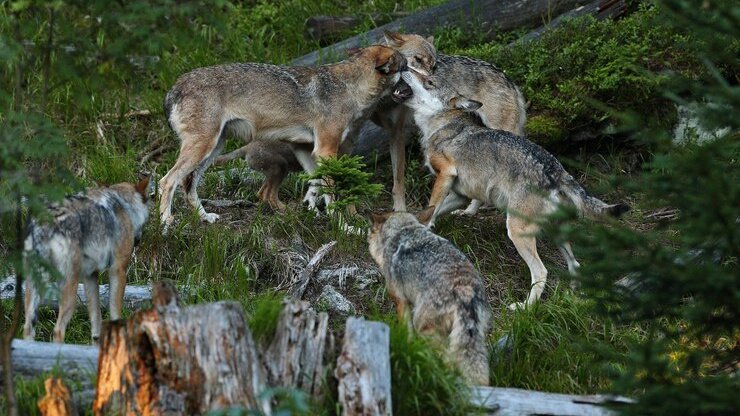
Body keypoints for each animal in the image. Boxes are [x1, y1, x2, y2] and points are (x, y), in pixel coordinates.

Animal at [23, 177, 151, 342]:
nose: (138, 241)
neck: (123, 204)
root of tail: (46, 221)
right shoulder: (118, 270)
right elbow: (115, 313)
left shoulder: (90, 275)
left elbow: (96, 322)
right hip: (69, 288)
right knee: (58, 330)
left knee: (28, 328)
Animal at [158, 46, 408, 226]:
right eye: (406, 68)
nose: (414, 86)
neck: (349, 89)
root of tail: (173, 89)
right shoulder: (325, 150)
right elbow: (332, 193)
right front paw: (343, 226)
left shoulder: (306, 150)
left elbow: (315, 184)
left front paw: (311, 210)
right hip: (203, 148)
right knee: (166, 181)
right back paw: (166, 222)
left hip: (213, 149)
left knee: (187, 185)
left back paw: (205, 217)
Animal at [368, 208, 492, 386]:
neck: (402, 230)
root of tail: (465, 290)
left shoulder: (401, 301)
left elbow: (406, 331)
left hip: (424, 328)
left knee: (447, 359)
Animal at [396, 70, 628, 308]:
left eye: (429, 81)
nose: (405, 67)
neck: (442, 125)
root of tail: (556, 170)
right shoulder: (460, 195)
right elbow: (430, 210)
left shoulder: (446, 174)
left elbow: (431, 206)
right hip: (555, 233)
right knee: (575, 265)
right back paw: (574, 296)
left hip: (517, 231)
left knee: (541, 272)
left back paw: (524, 308)